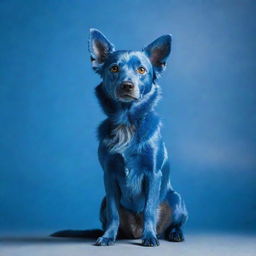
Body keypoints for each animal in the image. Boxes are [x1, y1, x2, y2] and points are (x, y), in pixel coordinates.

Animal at [88, 29, 188, 247]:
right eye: (114, 68)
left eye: (142, 70)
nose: (127, 85)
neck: (127, 122)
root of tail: (133, 231)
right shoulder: (109, 175)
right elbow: (114, 213)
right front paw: (108, 237)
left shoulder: (152, 174)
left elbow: (149, 209)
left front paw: (149, 236)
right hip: (102, 201)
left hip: (176, 200)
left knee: (174, 223)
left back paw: (173, 234)